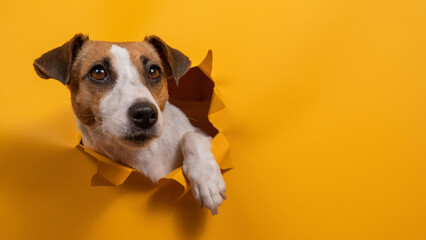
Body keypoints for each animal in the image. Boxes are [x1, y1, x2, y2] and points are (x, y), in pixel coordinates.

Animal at [33, 33, 226, 214]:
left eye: (154, 71)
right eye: (98, 72)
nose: (145, 113)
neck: (144, 153)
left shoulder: (202, 134)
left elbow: (190, 136)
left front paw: (207, 179)